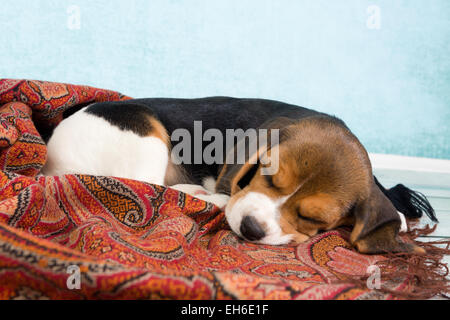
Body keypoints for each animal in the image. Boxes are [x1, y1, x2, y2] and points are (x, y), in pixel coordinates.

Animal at [42, 97, 436, 255]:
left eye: (312, 218)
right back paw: (203, 194)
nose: (251, 229)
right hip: (145, 134)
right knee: (150, 184)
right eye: (270, 178)